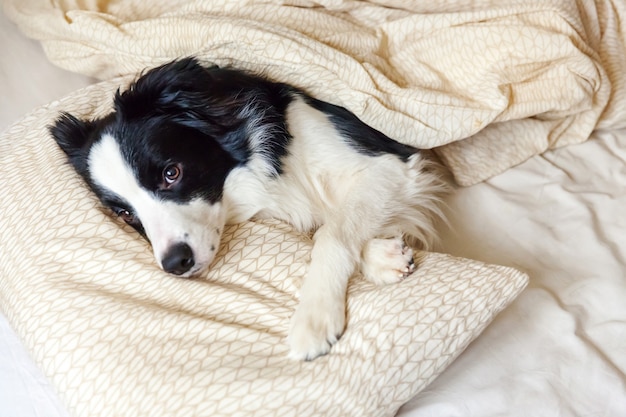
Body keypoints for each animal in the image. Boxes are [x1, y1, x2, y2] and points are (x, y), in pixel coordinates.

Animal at [50, 57, 444, 360]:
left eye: (171, 173)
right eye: (126, 214)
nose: (175, 264)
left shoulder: (388, 164)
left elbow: (332, 233)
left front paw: (314, 317)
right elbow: (331, 224)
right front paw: (383, 256)